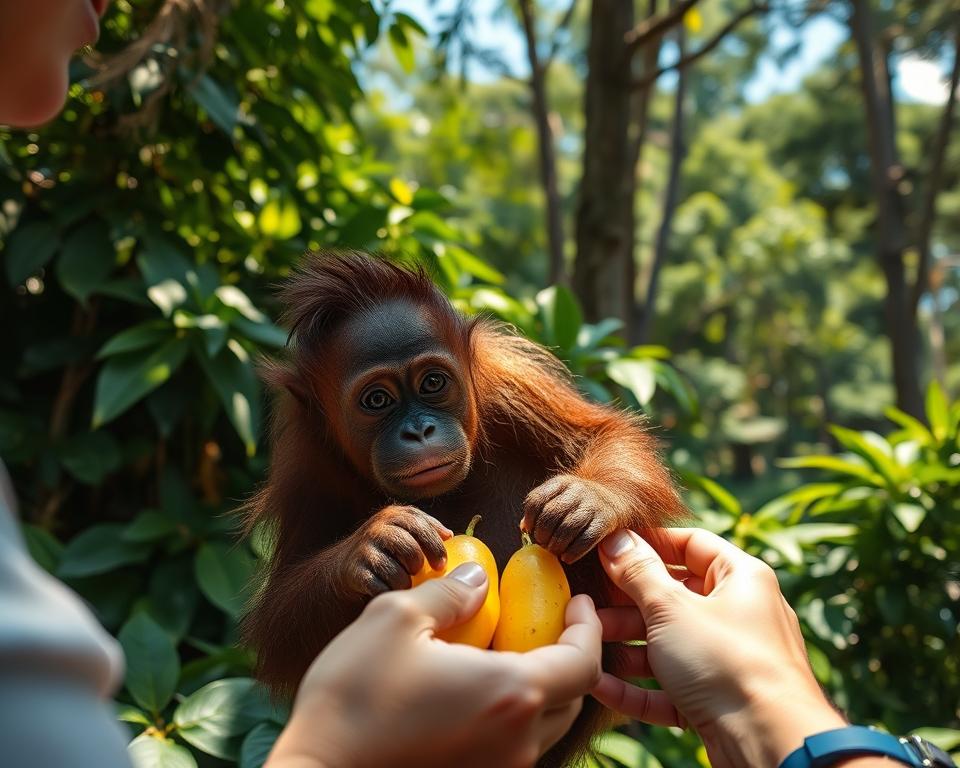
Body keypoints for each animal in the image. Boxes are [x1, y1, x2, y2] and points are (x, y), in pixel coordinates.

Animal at [243, 251, 685, 767]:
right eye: (377, 399)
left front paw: (587, 499)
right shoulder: (304, 463)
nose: (419, 430)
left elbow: (602, 433)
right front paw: (372, 547)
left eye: (433, 382)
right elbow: (281, 628)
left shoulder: (505, 379)